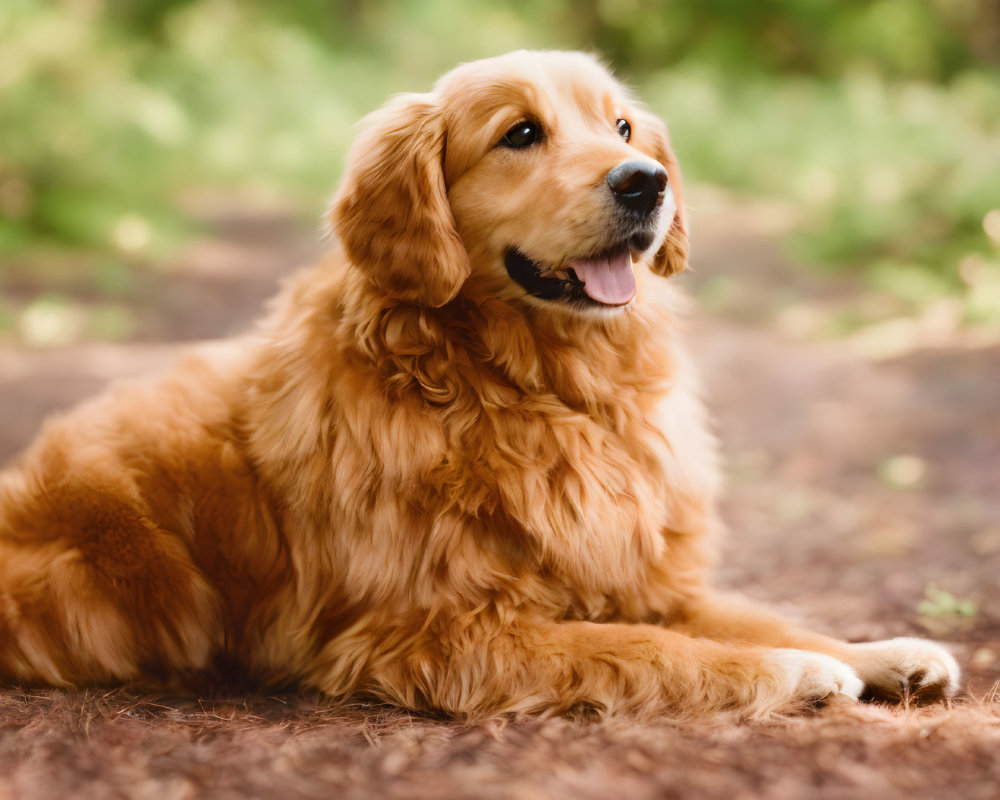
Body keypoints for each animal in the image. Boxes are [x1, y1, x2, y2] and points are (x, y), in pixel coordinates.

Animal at [0, 53, 960, 720]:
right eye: (520, 134)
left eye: (621, 129)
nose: (647, 182)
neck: (540, 390)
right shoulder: (433, 631)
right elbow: (654, 649)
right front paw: (795, 674)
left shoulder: (644, 573)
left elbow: (755, 615)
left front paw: (879, 650)